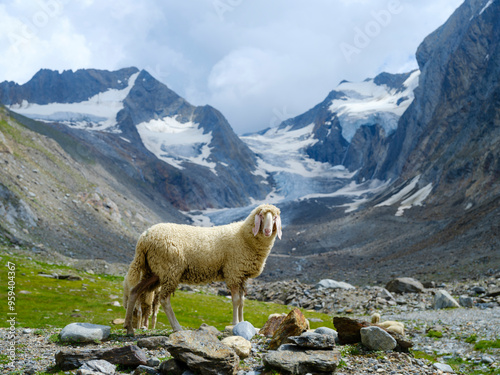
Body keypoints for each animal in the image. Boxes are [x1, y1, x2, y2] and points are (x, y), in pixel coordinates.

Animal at [123, 204, 284, 336]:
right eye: (261, 215)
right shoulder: (233, 272)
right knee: (164, 299)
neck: (244, 236)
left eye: (275, 217)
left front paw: (243, 323)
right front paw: (235, 324)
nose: (268, 230)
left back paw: (129, 328)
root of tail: (144, 238)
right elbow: (236, 300)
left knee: (135, 291)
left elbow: (242, 302)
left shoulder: (241, 275)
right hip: (170, 269)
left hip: (155, 272)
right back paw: (177, 327)